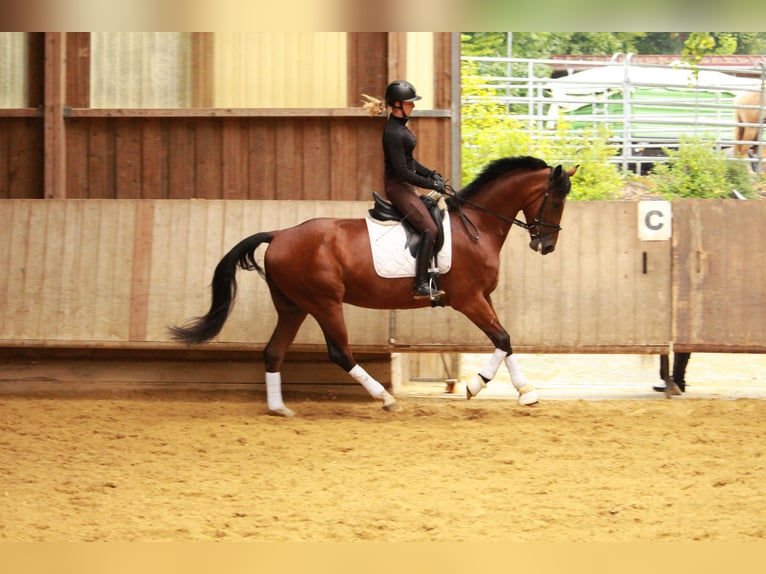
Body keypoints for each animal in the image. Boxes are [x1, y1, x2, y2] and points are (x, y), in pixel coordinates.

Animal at [169, 156, 578, 416]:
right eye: (556, 200)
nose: (546, 245)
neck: (476, 227)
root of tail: (280, 234)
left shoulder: (483, 297)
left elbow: (504, 340)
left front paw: (515, 390)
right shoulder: (468, 299)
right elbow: (503, 337)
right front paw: (487, 387)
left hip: (293, 306)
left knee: (273, 351)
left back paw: (279, 408)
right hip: (324, 303)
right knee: (339, 352)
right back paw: (384, 398)